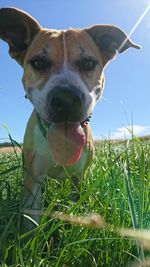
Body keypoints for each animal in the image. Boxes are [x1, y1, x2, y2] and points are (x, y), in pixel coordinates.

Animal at [0, 6, 141, 224]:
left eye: (89, 63)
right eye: (38, 62)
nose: (66, 99)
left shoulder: (79, 177)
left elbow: (78, 201)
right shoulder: (33, 176)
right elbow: (31, 217)